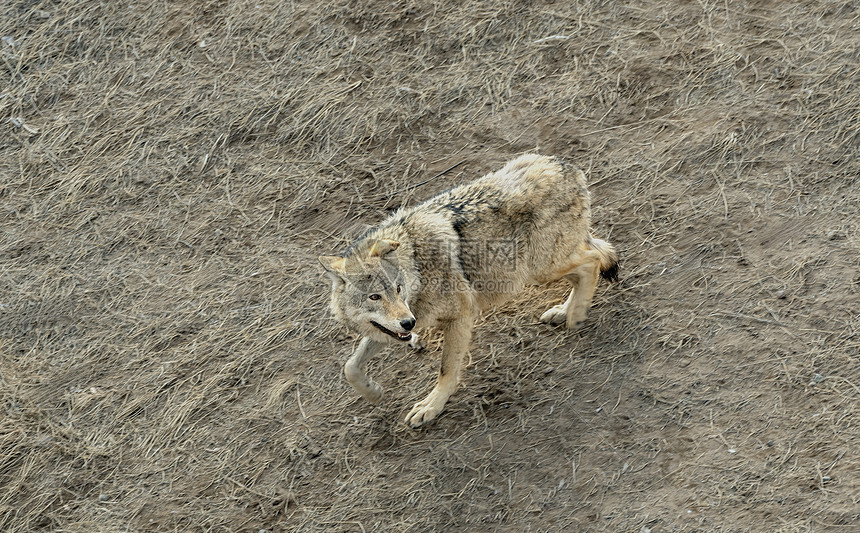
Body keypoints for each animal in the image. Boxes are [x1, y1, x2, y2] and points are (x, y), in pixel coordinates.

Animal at [320, 152, 616, 426]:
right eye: (375, 297)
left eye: (398, 289)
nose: (409, 324)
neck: (416, 265)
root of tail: (566, 165)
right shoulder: (392, 328)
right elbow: (350, 366)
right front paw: (374, 393)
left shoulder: (460, 316)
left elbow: (446, 369)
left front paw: (431, 406)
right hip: (542, 267)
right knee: (589, 262)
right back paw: (563, 311)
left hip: (540, 269)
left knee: (592, 261)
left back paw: (576, 315)